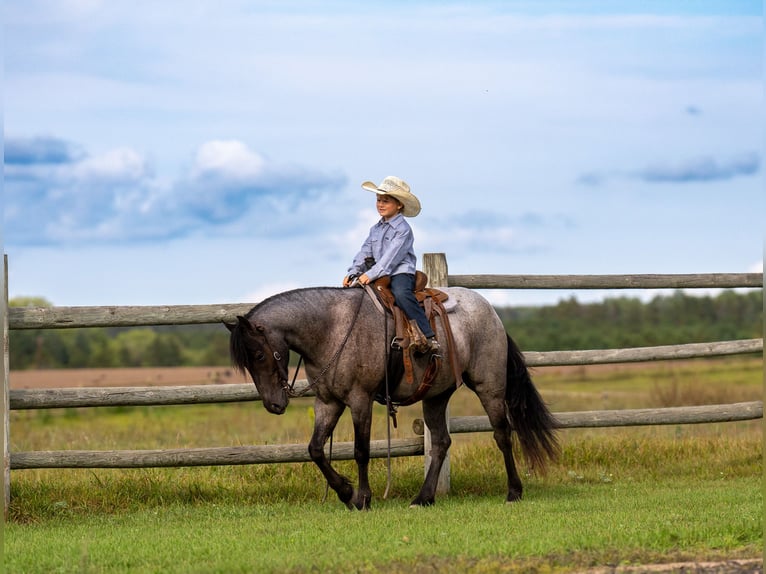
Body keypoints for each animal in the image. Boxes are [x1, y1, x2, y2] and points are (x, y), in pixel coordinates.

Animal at [226, 285, 559, 510]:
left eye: (259, 354)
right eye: (247, 362)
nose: (273, 405)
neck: (332, 329)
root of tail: (492, 313)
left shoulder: (359, 400)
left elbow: (361, 450)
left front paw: (362, 498)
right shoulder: (328, 403)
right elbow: (315, 449)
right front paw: (345, 492)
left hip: (489, 387)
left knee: (502, 435)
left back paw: (513, 492)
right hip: (436, 396)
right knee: (441, 443)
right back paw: (423, 498)